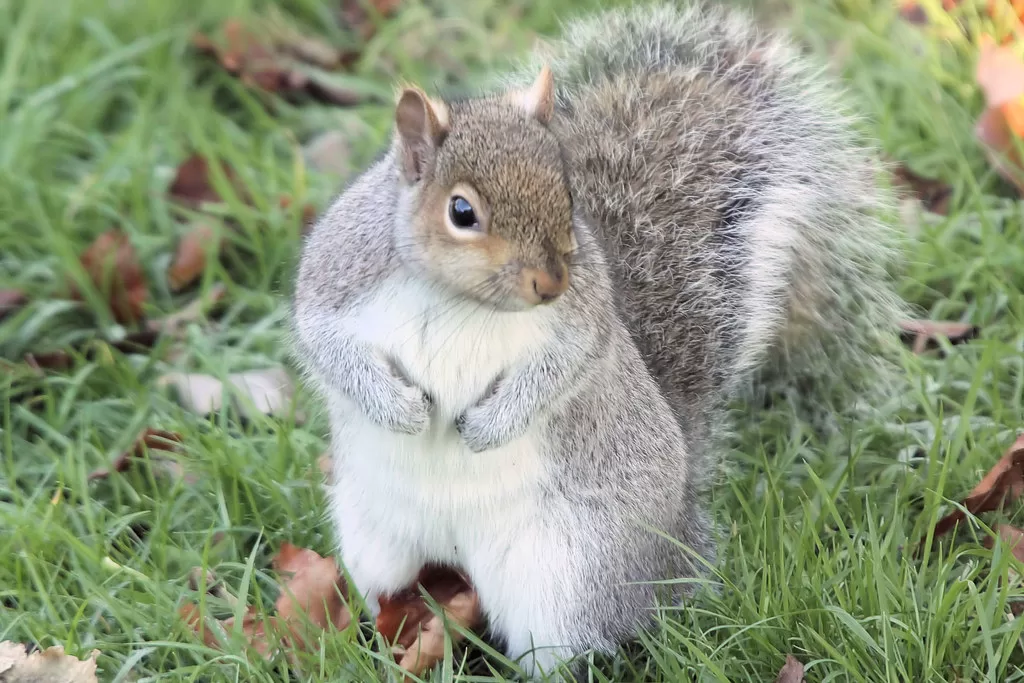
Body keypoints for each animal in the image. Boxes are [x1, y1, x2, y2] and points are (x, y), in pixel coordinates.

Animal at [292, 0, 909, 679]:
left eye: (566, 195)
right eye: (461, 212)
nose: (551, 282)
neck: (458, 300)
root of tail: (677, 545)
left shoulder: (581, 320)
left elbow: (560, 369)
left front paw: (487, 427)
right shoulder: (335, 278)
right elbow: (326, 345)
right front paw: (397, 408)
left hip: (569, 577)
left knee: (566, 647)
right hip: (374, 539)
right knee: (390, 589)